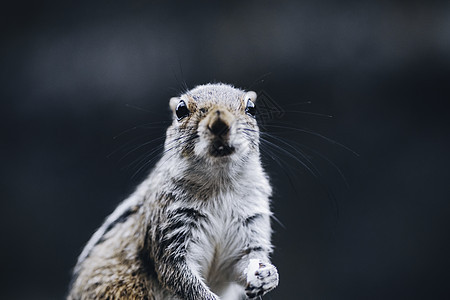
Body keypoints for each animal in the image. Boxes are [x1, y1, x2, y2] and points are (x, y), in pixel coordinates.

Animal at [67, 83, 278, 298]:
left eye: (251, 108)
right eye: (180, 110)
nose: (220, 123)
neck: (220, 183)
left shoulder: (251, 220)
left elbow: (242, 261)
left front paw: (267, 275)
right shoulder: (169, 228)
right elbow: (178, 275)